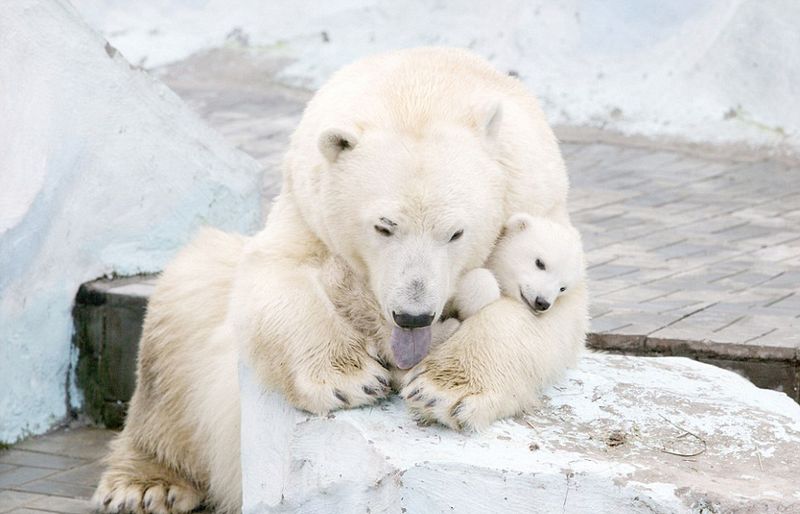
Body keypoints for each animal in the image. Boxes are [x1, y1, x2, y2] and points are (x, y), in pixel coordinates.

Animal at [95, 46, 588, 510]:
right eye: (384, 226)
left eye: (455, 232)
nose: (413, 316)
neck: (422, 88)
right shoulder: (306, 207)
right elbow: (276, 278)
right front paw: (352, 379)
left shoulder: (539, 205)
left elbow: (547, 316)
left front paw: (441, 389)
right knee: (178, 332)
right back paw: (146, 485)